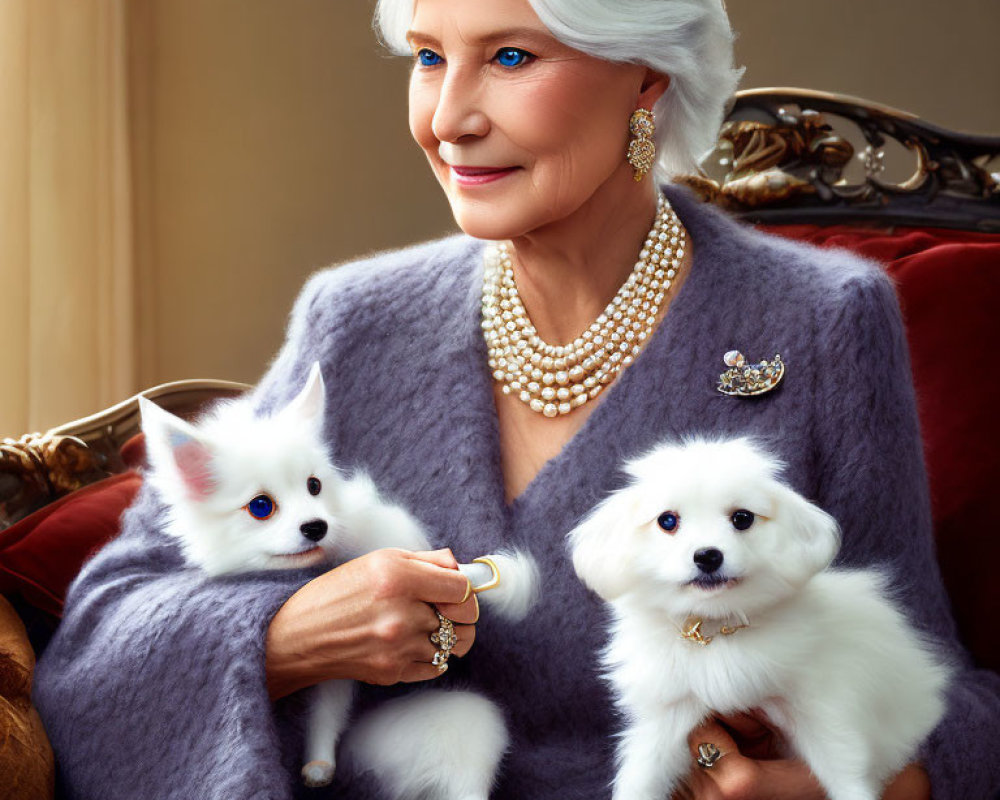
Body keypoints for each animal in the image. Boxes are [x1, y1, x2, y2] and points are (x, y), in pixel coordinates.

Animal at [139, 366, 540, 796]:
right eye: (261, 507)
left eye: (314, 486)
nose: (316, 526)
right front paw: (318, 765)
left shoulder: (340, 671)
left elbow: (326, 709)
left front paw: (317, 764)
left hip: (465, 726)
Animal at [568, 438, 948, 800]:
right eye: (667, 521)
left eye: (742, 518)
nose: (708, 555)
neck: (717, 630)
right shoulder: (666, 713)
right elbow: (641, 776)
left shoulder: (818, 704)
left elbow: (843, 766)